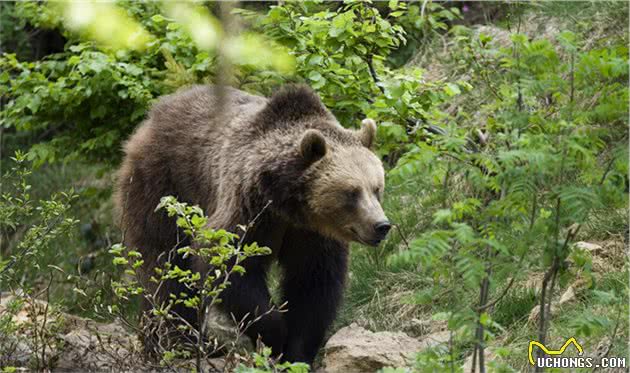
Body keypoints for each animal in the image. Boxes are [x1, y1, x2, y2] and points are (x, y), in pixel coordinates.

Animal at [113, 84, 390, 364]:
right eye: (351, 192)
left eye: (376, 188)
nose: (381, 225)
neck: (289, 203)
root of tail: (151, 119)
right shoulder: (251, 209)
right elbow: (230, 264)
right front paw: (275, 332)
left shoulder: (311, 234)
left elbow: (313, 284)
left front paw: (297, 351)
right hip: (164, 186)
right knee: (165, 261)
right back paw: (179, 342)